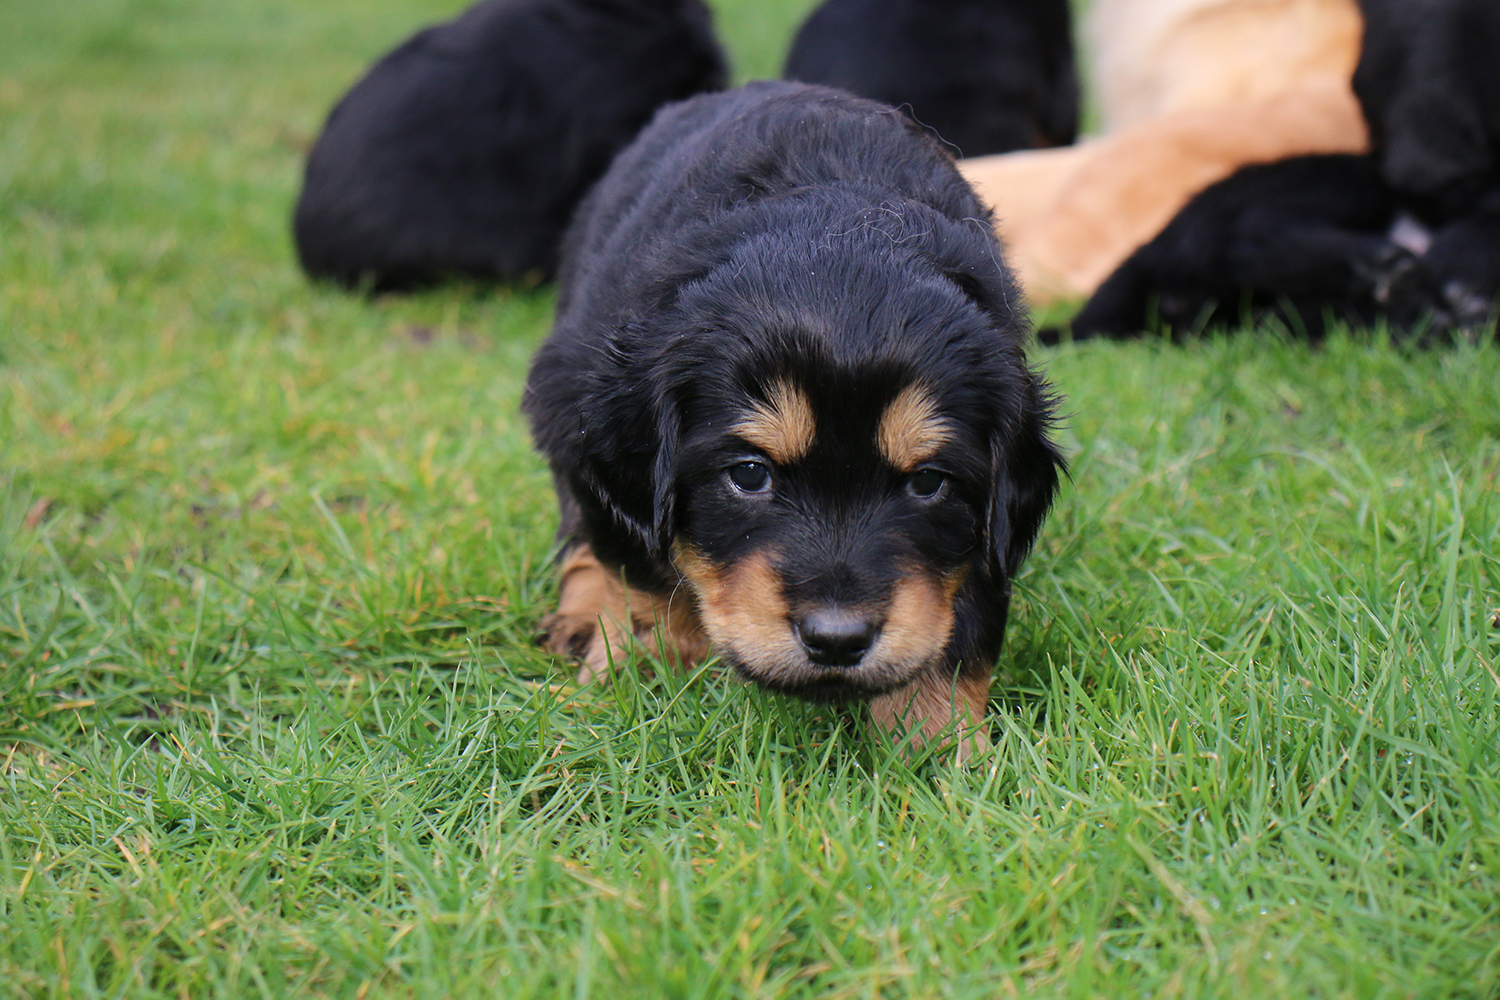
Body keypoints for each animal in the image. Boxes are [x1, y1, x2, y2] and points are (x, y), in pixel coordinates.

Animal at [524, 82, 1063, 755]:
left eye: (928, 482)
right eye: (750, 474)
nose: (836, 639)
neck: (833, 238)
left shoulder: (989, 532)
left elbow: (956, 620)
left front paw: (940, 751)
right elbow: (643, 575)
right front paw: (648, 667)